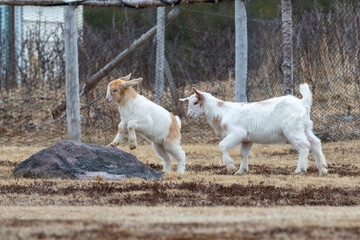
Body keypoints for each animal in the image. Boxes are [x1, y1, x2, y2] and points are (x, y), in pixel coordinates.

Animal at [179, 83, 328, 175]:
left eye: (195, 102)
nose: (189, 115)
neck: (222, 111)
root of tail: (303, 103)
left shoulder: (237, 133)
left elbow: (222, 146)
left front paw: (231, 166)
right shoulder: (246, 139)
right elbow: (243, 153)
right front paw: (241, 171)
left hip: (293, 129)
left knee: (304, 145)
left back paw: (300, 169)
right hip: (305, 127)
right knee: (315, 142)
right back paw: (323, 169)